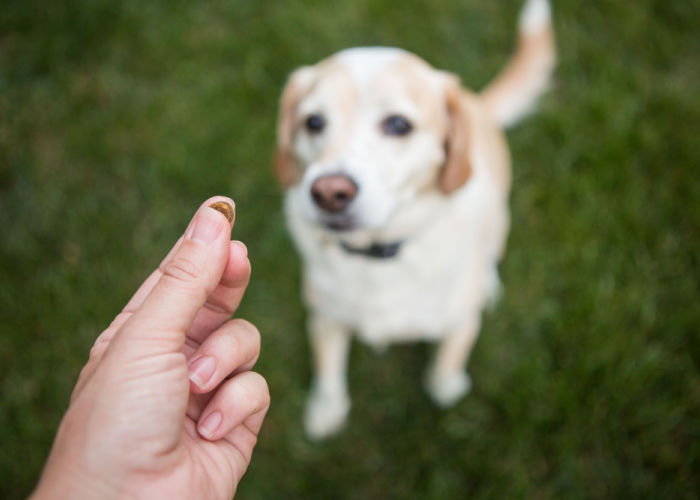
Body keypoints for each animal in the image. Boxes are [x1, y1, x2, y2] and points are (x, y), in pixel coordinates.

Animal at [276, 0, 556, 438]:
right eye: (313, 122)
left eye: (398, 124)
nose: (329, 192)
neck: (380, 254)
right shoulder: (324, 318)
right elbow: (328, 370)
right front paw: (326, 409)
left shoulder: (462, 323)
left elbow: (445, 369)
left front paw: (448, 385)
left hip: (500, 218)